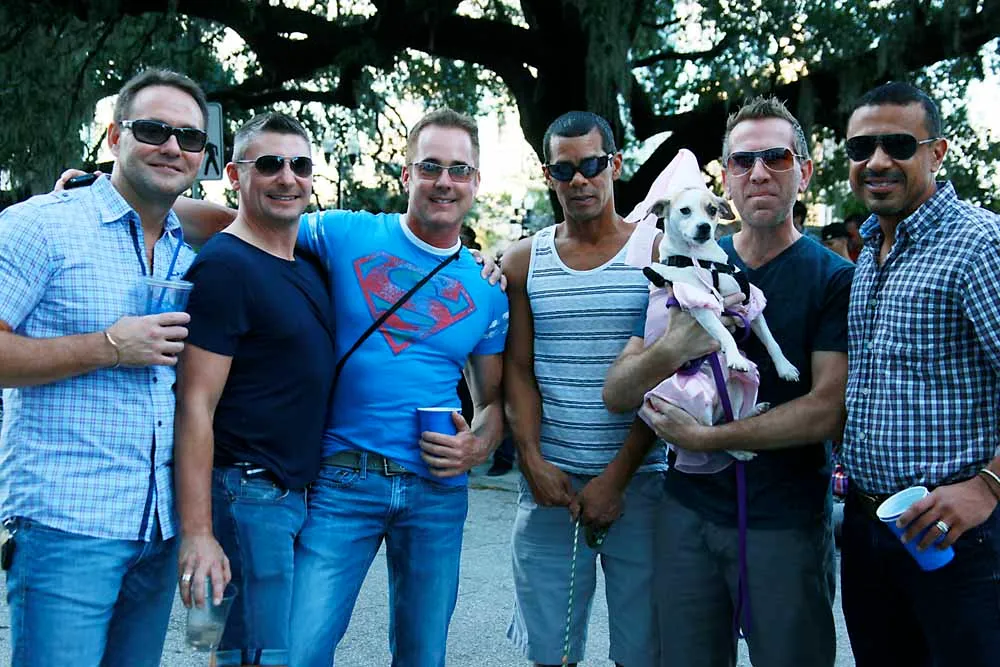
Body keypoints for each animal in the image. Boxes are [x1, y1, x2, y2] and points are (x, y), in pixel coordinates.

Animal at [639, 187, 799, 473]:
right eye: (684, 211)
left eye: (712, 210)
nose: (704, 227)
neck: (702, 261)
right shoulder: (701, 306)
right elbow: (724, 334)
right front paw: (735, 356)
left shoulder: (748, 303)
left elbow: (772, 341)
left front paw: (785, 368)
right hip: (696, 411)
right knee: (708, 434)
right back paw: (739, 452)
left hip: (733, 389)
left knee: (729, 423)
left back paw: (754, 412)